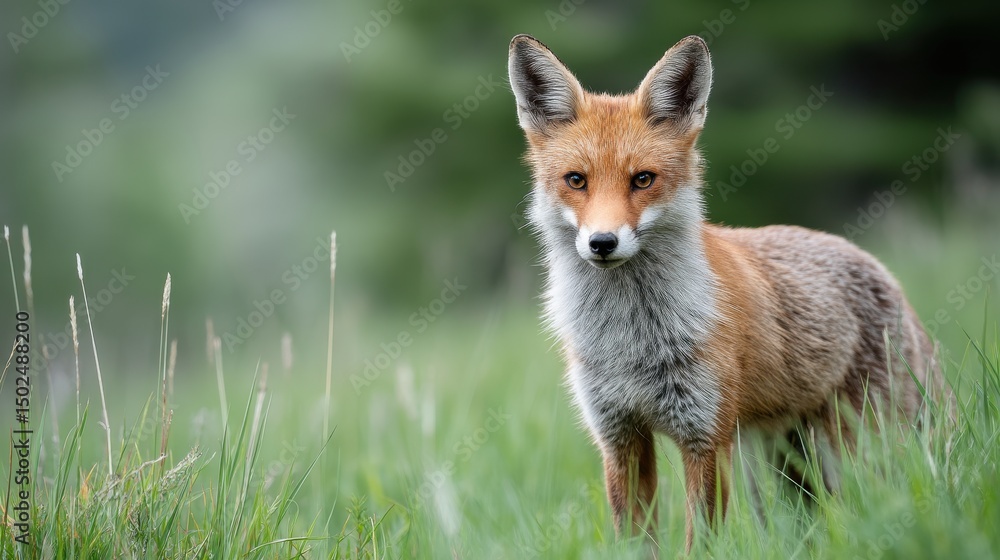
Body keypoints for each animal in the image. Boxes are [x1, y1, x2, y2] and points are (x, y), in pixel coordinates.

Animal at [507, 34, 938, 551]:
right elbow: (636, 542)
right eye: (577, 180)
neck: (631, 339)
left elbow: (702, 543)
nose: (602, 243)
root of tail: (881, 269)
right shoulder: (620, 439)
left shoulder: (706, 438)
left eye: (642, 179)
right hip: (777, 465)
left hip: (852, 451)